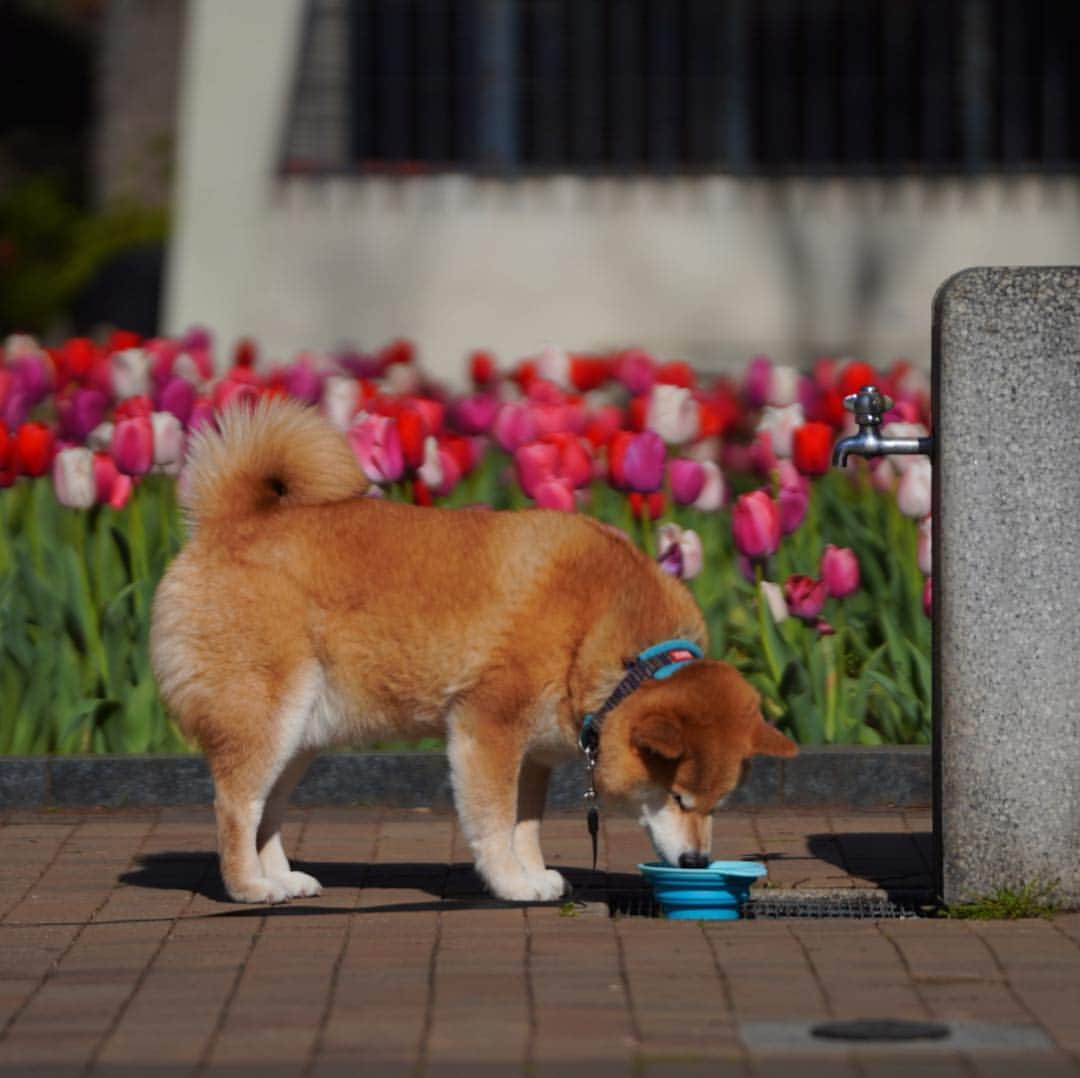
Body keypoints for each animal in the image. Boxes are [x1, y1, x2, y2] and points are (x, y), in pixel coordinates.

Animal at [150, 401, 794, 907]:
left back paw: (282, 879)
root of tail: (229, 522)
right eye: (678, 797)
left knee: (268, 811)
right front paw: (509, 884)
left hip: (300, 736)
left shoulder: (534, 755)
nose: (697, 864)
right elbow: (493, 821)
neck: (605, 640)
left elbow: (525, 824)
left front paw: (534, 874)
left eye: (718, 804)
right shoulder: (488, 729)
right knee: (237, 806)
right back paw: (249, 887)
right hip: (267, 715)